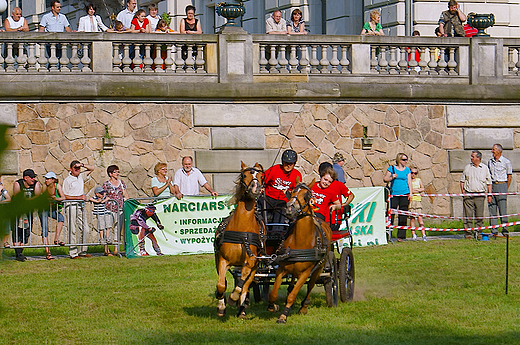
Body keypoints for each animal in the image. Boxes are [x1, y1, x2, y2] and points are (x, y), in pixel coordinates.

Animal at [214, 161, 264, 318]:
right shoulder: (223, 260)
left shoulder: (251, 262)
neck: (243, 234)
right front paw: (221, 306)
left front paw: (234, 298)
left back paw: (241, 308)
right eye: (244, 175)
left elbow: (242, 285)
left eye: (261, 176)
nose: (256, 187)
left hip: (255, 266)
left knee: (246, 286)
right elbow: (221, 284)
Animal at [268, 179, 334, 324]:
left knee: (310, 285)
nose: (289, 208)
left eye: (306, 196)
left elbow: (293, 295)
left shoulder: (306, 273)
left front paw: (283, 316)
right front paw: (272, 306)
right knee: (292, 282)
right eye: (292, 191)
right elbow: (273, 293)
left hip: (319, 268)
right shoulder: (281, 269)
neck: (300, 241)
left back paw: (304, 306)